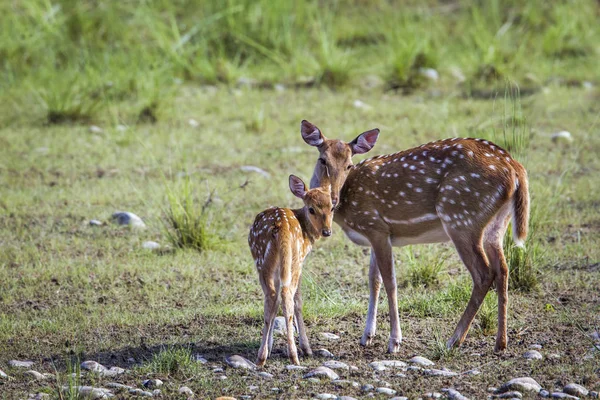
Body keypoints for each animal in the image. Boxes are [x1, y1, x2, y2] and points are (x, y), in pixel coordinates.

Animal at [247, 175, 332, 366]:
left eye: (332, 206)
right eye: (311, 209)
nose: (327, 232)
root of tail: (282, 228)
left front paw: (271, 346)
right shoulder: (301, 261)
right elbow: (298, 300)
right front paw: (307, 349)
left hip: (264, 263)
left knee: (272, 296)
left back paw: (262, 357)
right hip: (291, 262)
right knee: (286, 295)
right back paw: (293, 355)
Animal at [302, 119, 528, 354]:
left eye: (348, 165)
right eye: (322, 160)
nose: (333, 199)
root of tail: (516, 169)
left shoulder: (376, 227)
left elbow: (390, 282)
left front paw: (394, 342)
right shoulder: (376, 233)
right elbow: (374, 280)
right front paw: (367, 336)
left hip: (461, 218)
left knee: (483, 273)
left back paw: (454, 340)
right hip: (496, 225)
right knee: (503, 269)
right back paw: (500, 342)